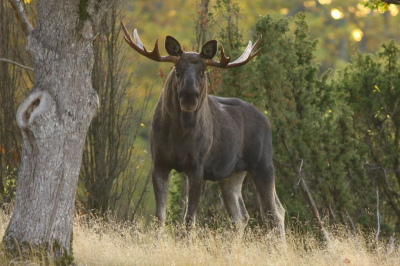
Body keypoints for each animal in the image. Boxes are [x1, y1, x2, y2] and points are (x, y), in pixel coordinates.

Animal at [121, 21, 284, 238]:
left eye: (203, 71)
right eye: (177, 69)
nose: (189, 97)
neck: (178, 136)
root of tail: (267, 120)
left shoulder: (197, 166)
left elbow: (189, 220)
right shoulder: (160, 163)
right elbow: (159, 218)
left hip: (263, 163)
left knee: (274, 213)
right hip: (231, 175)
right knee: (241, 217)